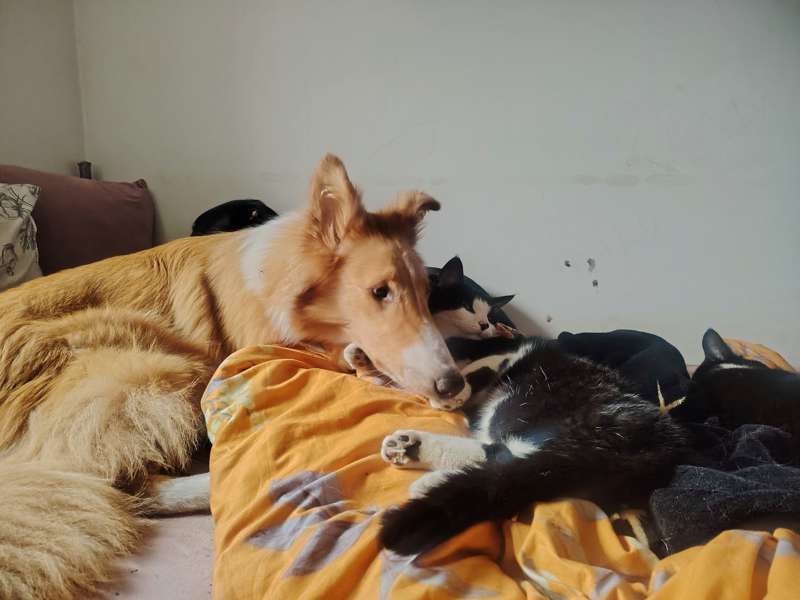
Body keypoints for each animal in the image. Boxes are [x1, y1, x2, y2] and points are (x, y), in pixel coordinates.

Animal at [0, 154, 463, 599]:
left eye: (426, 293)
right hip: (149, 367)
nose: (454, 385)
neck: (275, 279)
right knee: (118, 482)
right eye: (379, 292)